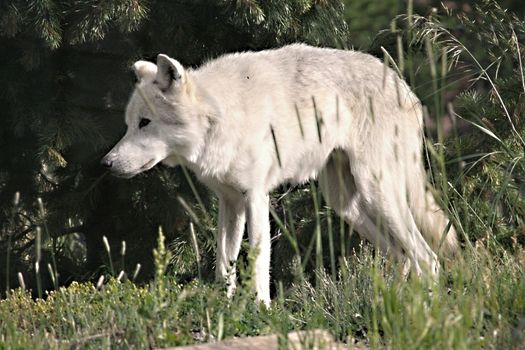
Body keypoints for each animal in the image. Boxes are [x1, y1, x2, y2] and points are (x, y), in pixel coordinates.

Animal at [100, 44, 456, 306]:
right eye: (129, 124)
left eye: (145, 123)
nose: (106, 164)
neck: (220, 115)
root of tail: (402, 84)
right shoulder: (230, 203)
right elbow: (224, 262)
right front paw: (223, 307)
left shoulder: (256, 197)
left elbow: (258, 259)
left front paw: (261, 309)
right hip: (346, 203)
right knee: (404, 257)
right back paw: (393, 304)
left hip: (378, 192)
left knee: (428, 258)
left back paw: (426, 310)